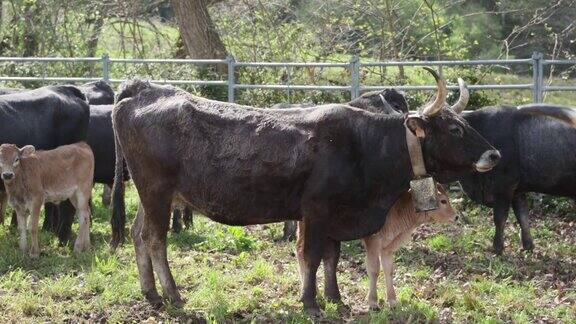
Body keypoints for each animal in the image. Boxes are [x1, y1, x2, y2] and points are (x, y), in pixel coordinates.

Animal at [111, 69, 500, 314]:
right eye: (454, 128)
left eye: (465, 122)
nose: (494, 154)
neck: (364, 144)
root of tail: (144, 88)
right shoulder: (315, 211)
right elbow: (312, 256)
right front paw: (311, 303)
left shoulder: (335, 215)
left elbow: (332, 257)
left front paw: (335, 298)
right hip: (157, 192)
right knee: (155, 239)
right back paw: (173, 296)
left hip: (151, 196)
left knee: (137, 234)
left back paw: (151, 294)